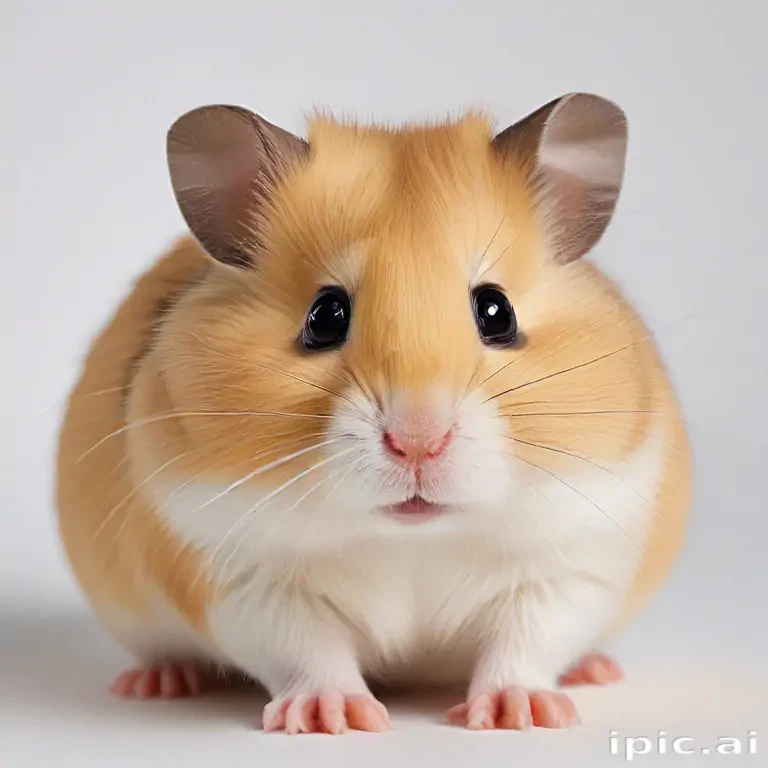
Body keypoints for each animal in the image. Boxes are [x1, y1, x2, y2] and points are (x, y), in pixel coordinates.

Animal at [56, 93, 690, 734]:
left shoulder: (571, 562)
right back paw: (156, 684)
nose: (418, 442)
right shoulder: (239, 575)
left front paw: (521, 715)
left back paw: (596, 671)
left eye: (496, 311)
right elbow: (307, 649)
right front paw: (328, 718)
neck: (410, 540)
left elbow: (525, 642)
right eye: (325, 316)